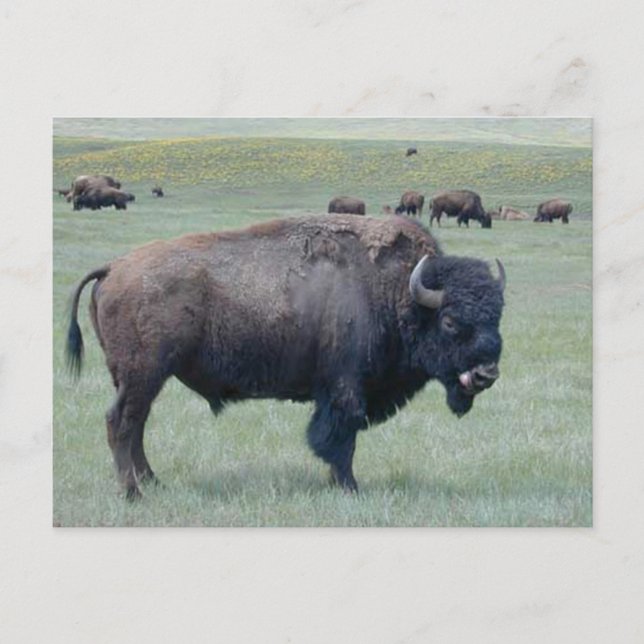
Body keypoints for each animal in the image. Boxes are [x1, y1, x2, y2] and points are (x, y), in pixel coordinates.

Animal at [66, 214, 505, 499]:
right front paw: (350, 488)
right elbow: (340, 439)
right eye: (449, 321)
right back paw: (132, 493)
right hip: (144, 374)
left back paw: (152, 483)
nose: (486, 373)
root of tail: (113, 268)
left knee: (135, 425)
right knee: (120, 423)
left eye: (498, 315)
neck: (397, 292)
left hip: (138, 378)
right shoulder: (345, 389)